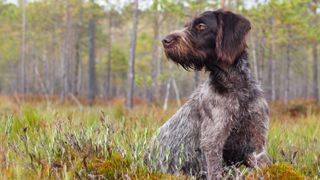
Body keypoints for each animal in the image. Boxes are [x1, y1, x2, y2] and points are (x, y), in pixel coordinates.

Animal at [144, 9, 270, 179]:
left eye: (201, 26)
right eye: (187, 25)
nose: (165, 40)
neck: (236, 88)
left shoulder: (257, 143)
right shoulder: (212, 142)